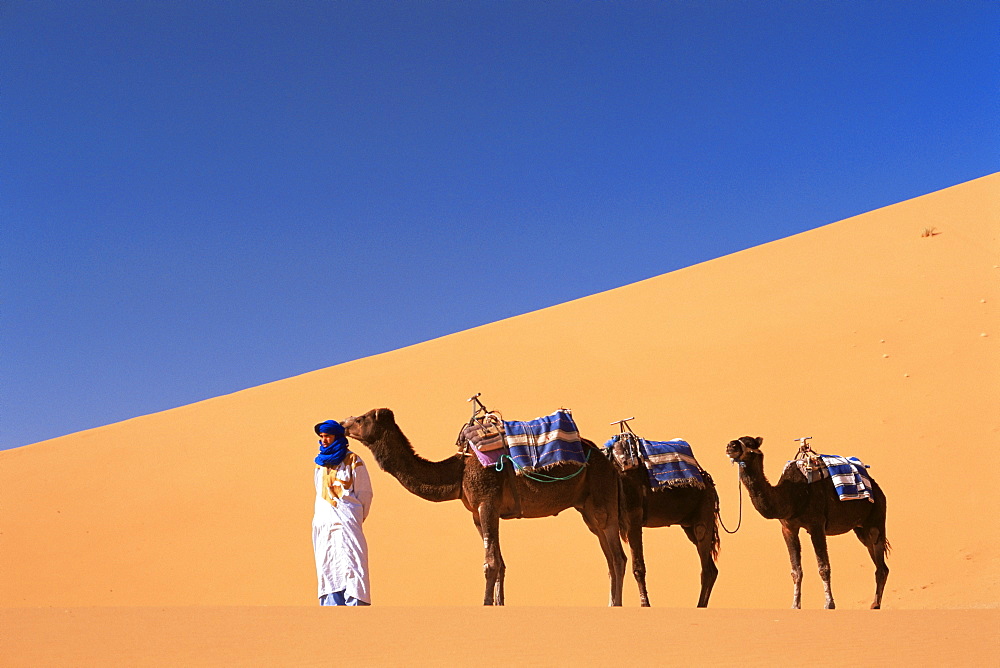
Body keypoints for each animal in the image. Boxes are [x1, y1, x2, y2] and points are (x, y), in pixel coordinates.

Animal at [344, 408, 624, 604]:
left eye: (362, 418)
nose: (343, 423)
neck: (458, 471)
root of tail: (608, 459)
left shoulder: (487, 502)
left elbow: (490, 564)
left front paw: (486, 604)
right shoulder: (478, 513)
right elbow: (499, 563)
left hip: (602, 500)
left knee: (618, 557)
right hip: (587, 508)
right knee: (610, 559)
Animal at [608, 436, 720, 608]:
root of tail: (709, 482)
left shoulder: (634, 518)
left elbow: (638, 567)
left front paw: (645, 604)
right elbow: (615, 563)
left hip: (704, 515)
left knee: (707, 568)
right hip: (688, 525)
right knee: (711, 569)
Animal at [728, 436, 892, 608]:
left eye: (749, 443)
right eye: (737, 439)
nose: (730, 446)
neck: (791, 495)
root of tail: (877, 488)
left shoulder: (816, 525)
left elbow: (823, 567)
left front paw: (829, 604)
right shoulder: (788, 528)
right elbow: (796, 571)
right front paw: (795, 605)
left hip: (876, 518)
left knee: (880, 564)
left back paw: (875, 605)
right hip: (860, 528)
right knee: (878, 561)